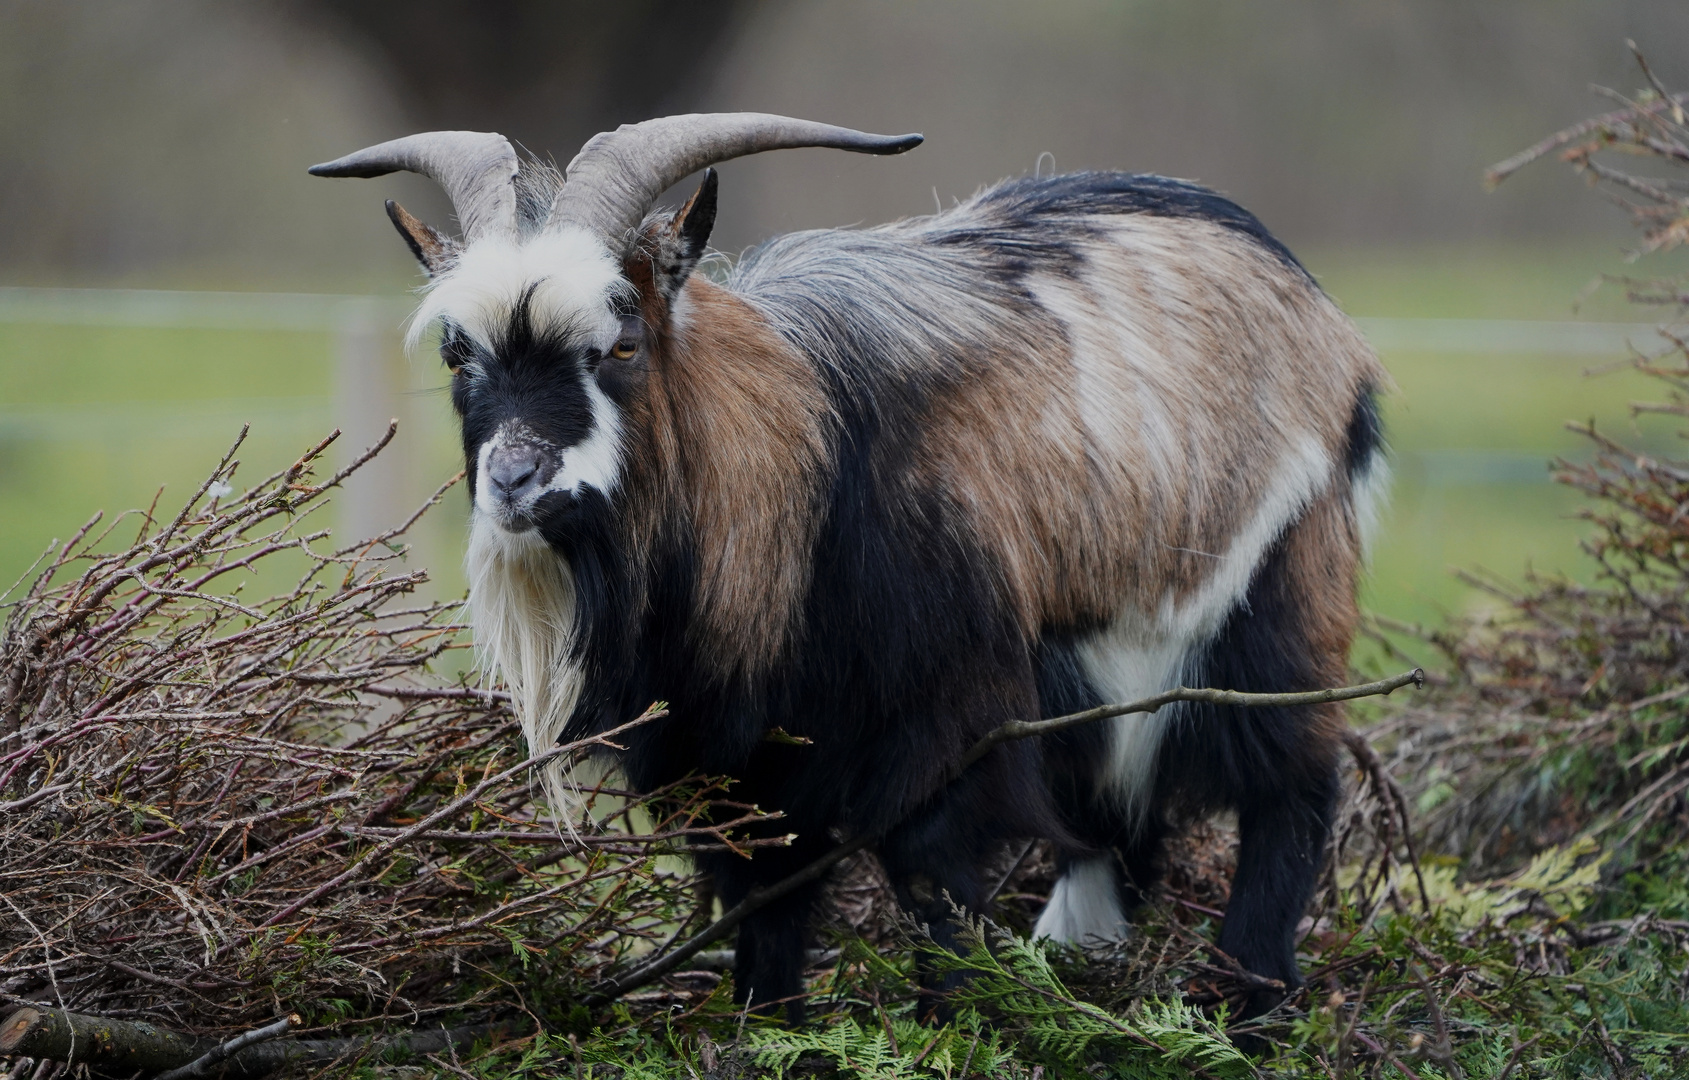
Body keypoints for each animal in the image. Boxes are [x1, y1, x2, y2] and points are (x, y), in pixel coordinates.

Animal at [314, 114, 1384, 1027]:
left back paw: (1250, 1004)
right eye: (458, 355)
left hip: (1274, 604)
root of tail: (1310, 302)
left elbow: (933, 886)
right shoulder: (738, 771)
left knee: (1291, 792)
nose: (512, 480)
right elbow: (762, 913)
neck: (804, 475)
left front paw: (955, 1027)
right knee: (1113, 824)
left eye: (619, 343)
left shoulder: (955, 724)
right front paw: (770, 1031)